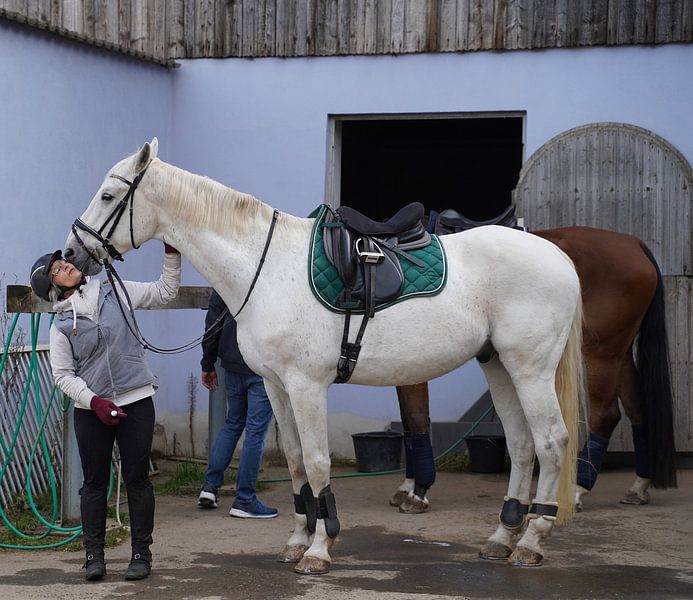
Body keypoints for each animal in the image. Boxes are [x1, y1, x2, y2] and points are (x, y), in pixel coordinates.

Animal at [63, 139, 585, 572]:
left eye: (108, 197)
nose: (71, 253)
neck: (264, 266)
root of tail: (559, 255)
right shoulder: (275, 386)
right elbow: (295, 461)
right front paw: (298, 539)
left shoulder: (306, 385)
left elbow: (316, 462)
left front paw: (319, 549)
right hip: (498, 364)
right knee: (522, 445)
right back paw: (502, 536)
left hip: (530, 369)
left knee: (551, 442)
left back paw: (531, 541)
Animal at [392, 226, 677, 516]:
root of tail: (633, 243)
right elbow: (407, 420)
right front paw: (408, 486)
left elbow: (415, 418)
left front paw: (418, 491)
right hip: (619, 353)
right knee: (637, 409)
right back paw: (638, 486)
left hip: (600, 353)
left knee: (605, 415)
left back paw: (578, 489)